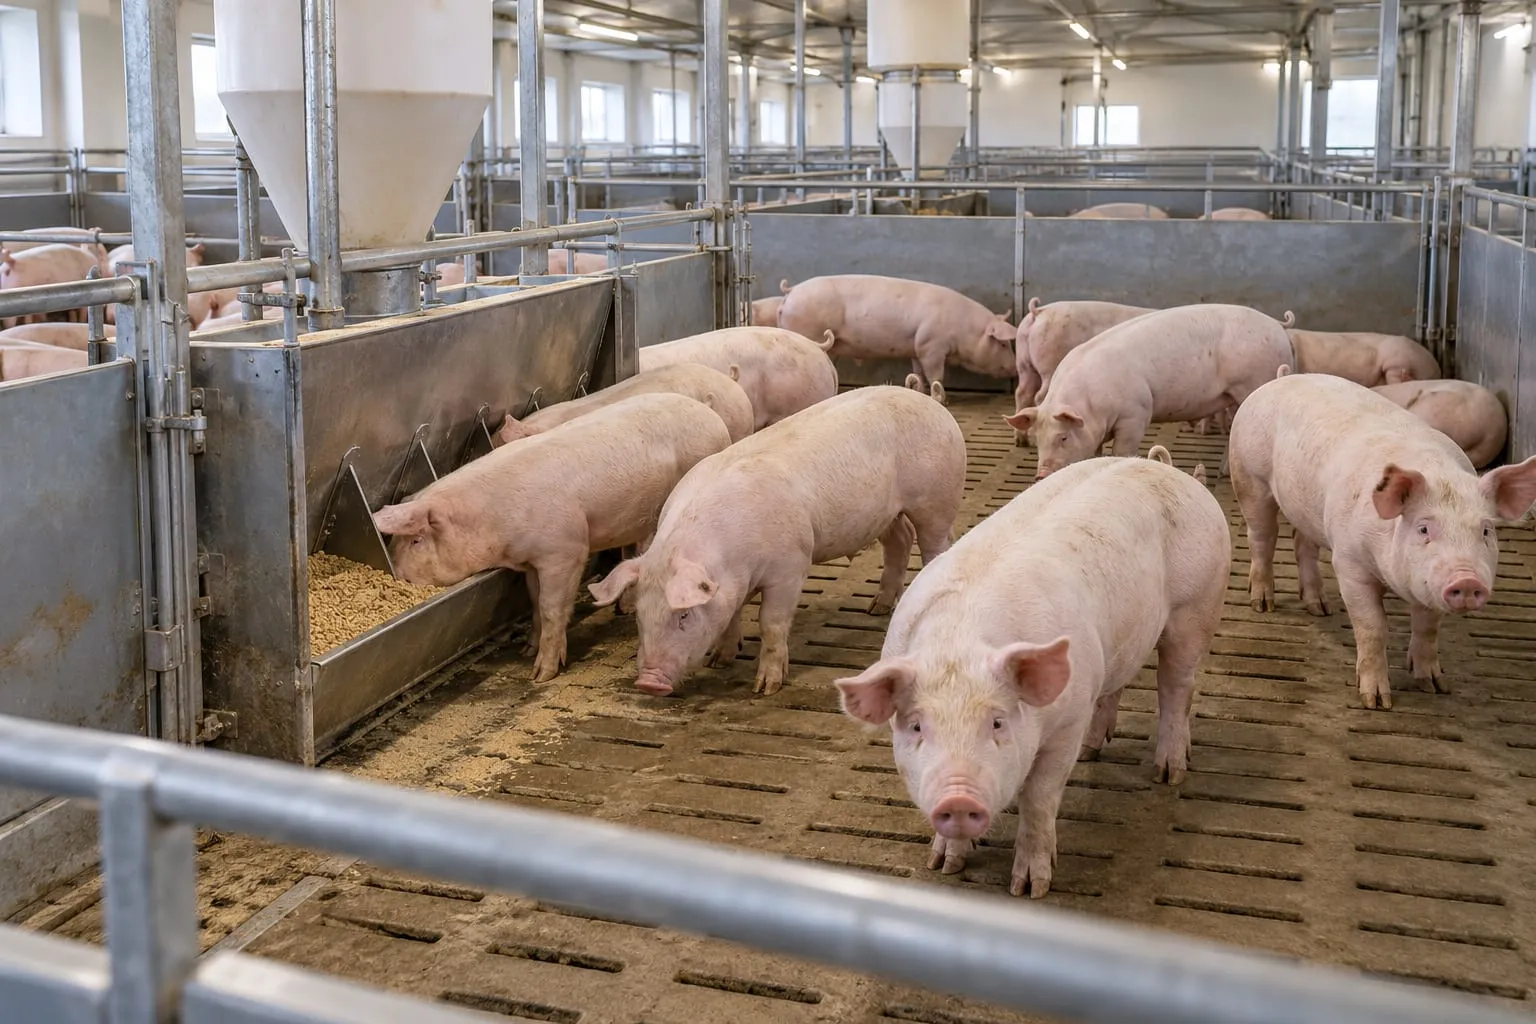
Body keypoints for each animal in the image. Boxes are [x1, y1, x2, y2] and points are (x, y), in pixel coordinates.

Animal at [373, 393, 732, 683]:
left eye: (416, 540)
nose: (398, 578)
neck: (494, 519)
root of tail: (710, 416)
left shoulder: (565, 551)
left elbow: (551, 607)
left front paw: (541, 675)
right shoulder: (531, 561)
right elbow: (534, 601)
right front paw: (526, 650)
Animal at [588, 385, 966, 698]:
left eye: (683, 616)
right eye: (641, 617)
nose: (648, 682)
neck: (733, 560)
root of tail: (931, 403)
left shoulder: (790, 565)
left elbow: (771, 622)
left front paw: (765, 688)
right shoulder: (729, 584)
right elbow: (731, 614)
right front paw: (719, 661)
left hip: (936, 500)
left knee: (936, 545)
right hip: (884, 513)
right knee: (900, 540)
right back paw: (877, 608)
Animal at [777, 274, 1016, 395]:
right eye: (1003, 344)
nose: (1015, 369)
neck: (963, 328)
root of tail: (791, 292)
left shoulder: (917, 348)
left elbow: (919, 373)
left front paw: (919, 389)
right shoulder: (932, 346)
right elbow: (936, 375)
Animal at [835, 453, 1229, 897]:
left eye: (998, 721)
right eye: (917, 726)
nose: (957, 800)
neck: (959, 644)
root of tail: (1164, 467)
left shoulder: (1067, 723)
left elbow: (1039, 798)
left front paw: (1030, 888)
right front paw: (943, 865)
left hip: (1196, 607)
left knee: (1176, 687)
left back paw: (1168, 773)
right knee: (1117, 683)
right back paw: (1093, 750)